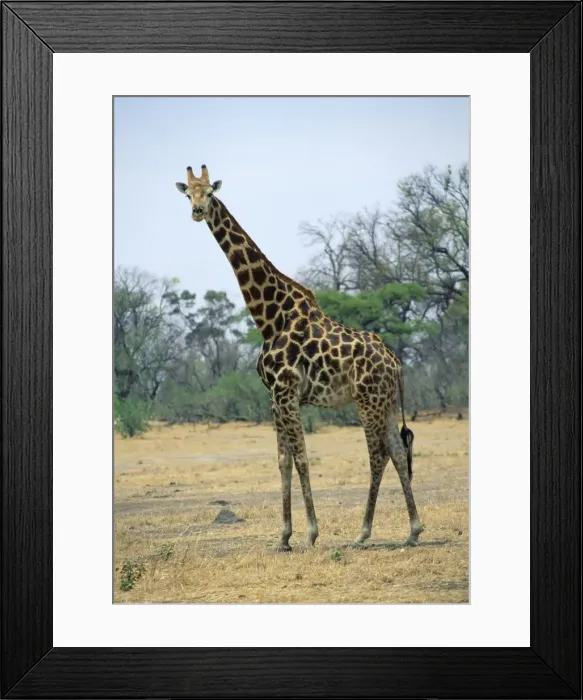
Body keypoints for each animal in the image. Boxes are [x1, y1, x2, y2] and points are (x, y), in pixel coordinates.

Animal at [176, 165, 424, 551]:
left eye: (211, 194)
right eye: (188, 194)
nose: (198, 211)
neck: (268, 317)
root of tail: (396, 363)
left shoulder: (287, 390)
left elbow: (303, 459)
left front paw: (310, 532)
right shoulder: (274, 396)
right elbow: (283, 461)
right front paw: (283, 537)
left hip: (367, 401)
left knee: (378, 455)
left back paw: (363, 532)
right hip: (384, 402)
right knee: (398, 451)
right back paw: (412, 530)